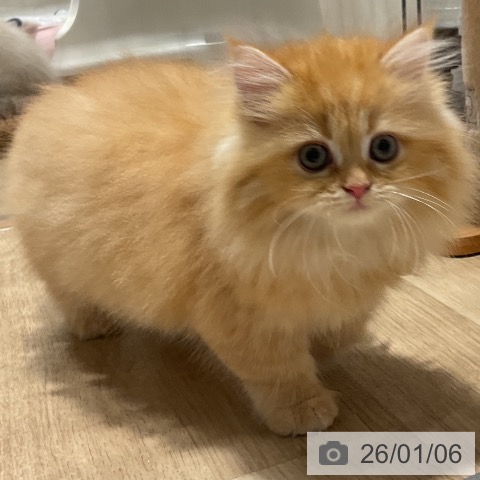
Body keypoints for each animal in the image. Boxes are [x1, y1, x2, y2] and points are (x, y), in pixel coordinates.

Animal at [6, 26, 476, 435]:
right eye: (313, 157)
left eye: (383, 148)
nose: (358, 188)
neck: (330, 244)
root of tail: (57, 93)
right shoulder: (238, 314)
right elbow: (278, 369)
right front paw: (303, 409)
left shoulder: (352, 290)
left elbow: (342, 330)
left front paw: (322, 351)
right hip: (60, 258)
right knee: (68, 294)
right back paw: (95, 324)